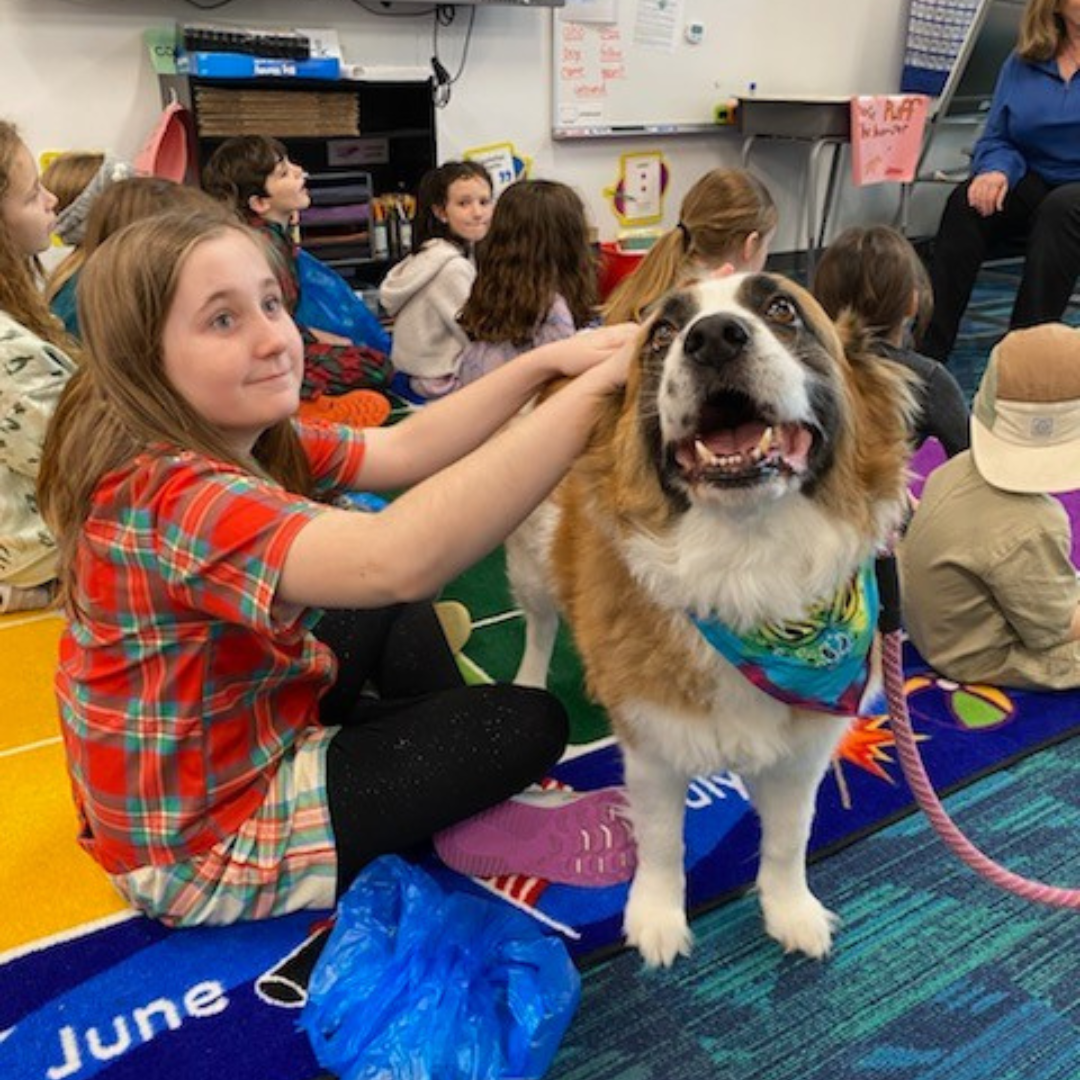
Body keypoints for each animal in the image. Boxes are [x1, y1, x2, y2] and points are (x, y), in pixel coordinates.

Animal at [509, 274, 915, 967]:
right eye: (665, 333)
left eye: (781, 308)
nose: (715, 337)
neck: (744, 571)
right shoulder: (652, 751)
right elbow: (662, 842)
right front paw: (656, 918)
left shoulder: (803, 753)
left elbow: (789, 836)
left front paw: (789, 908)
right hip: (532, 567)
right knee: (540, 627)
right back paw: (532, 678)